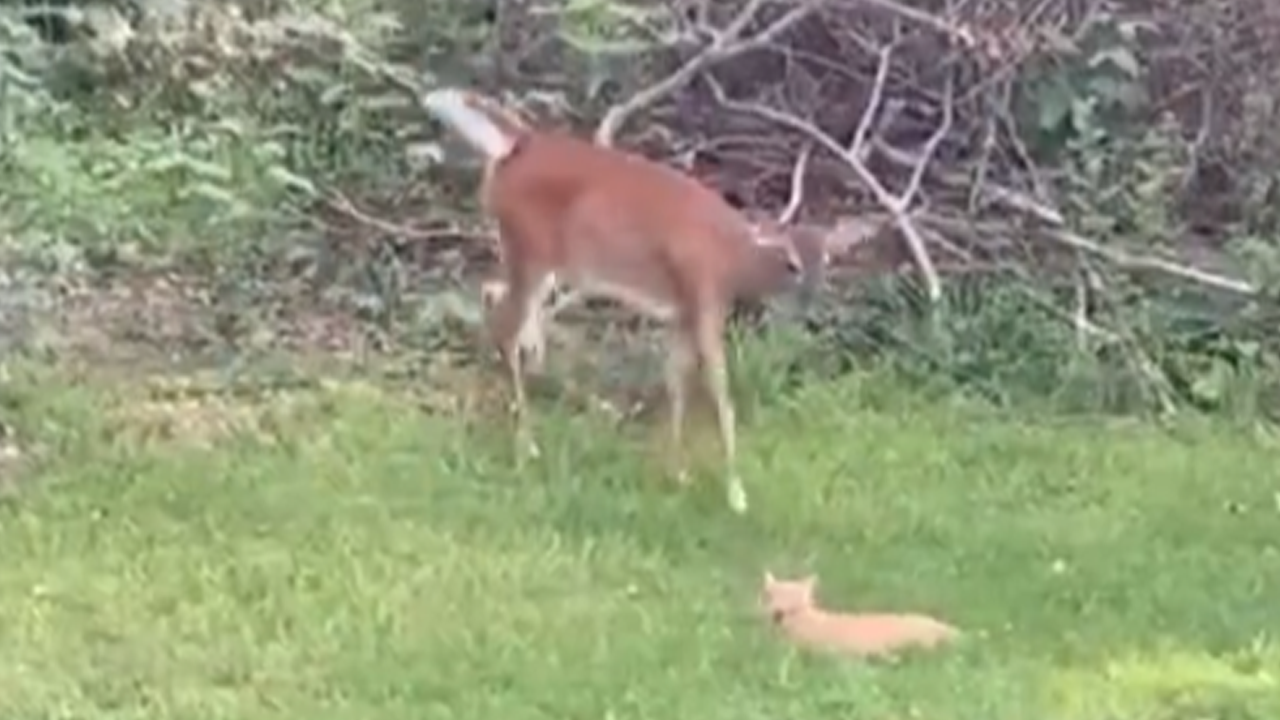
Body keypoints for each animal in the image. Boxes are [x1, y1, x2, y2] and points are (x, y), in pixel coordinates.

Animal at [418, 87, 848, 514]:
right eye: (791, 263)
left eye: (827, 261)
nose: (810, 299)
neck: (734, 258)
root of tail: (519, 144)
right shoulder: (705, 296)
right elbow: (720, 391)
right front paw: (736, 494)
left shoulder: (683, 312)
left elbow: (676, 381)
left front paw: (677, 474)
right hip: (530, 247)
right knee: (505, 325)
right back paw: (524, 445)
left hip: (540, 260)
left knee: (493, 298)